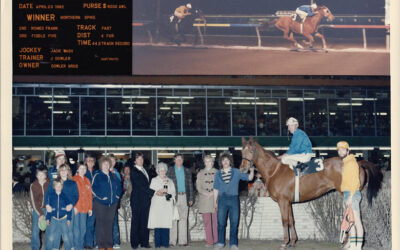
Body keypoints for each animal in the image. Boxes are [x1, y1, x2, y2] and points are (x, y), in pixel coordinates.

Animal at [239, 137, 382, 250]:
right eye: (242, 151)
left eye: (251, 151)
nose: (243, 169)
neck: (275, 170)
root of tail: (357, 162)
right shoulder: (288, 202)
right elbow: (291, 220)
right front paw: (292, 242)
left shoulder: (282, 201)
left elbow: (285, 221)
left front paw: (284, 243)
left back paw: (348, 243)